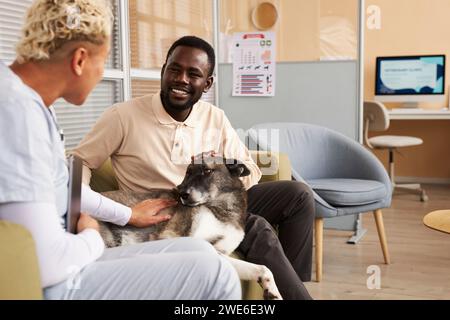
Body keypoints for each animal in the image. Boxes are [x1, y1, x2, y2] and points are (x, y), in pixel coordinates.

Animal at [98, 156, 282, 298]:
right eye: (188, 172)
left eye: (207, 171)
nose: (182, 194)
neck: (220, 209)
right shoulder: (174, 236)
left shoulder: (222, 251)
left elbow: (263, 268)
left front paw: (272, 291)